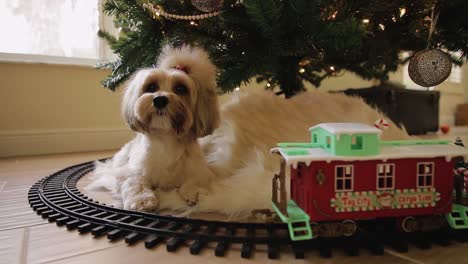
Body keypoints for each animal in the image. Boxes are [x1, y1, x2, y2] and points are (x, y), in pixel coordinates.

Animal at [88, 45, 410, 219]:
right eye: (151, 86)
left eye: (180, 88)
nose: (160, 99)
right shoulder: (135, 173)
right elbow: (135, 183)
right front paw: (148, 199)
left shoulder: (207, 173)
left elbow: (196, 184)